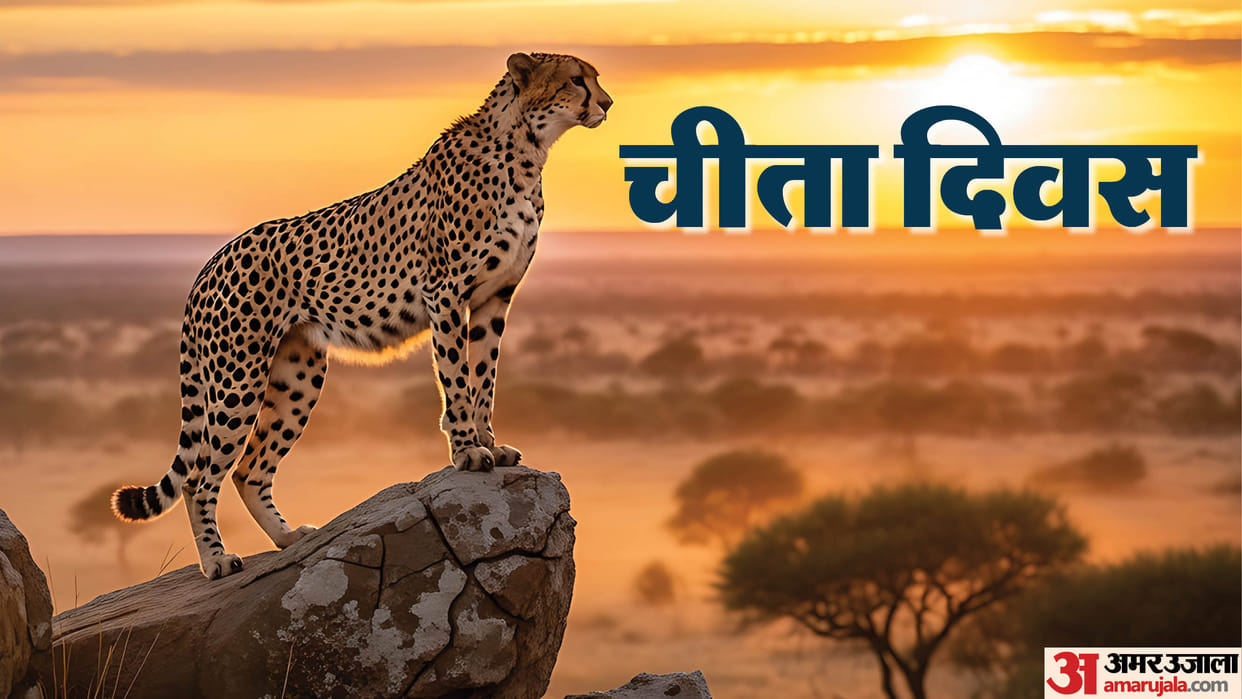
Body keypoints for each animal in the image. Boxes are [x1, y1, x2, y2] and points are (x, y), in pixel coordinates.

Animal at [110, 52, 612, 579]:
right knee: (200, 476)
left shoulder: (495, 298)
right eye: (576, 80)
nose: (608, 103)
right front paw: (467, 450)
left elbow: (484, 379)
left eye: (593, 78)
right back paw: (216, 560)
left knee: (250, 468)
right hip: (237, 378)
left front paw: (490, 443)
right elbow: (457, 379)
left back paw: (287, 538)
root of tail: (211, 261)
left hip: (298, 377)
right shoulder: (446, 292)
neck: (525, 150)